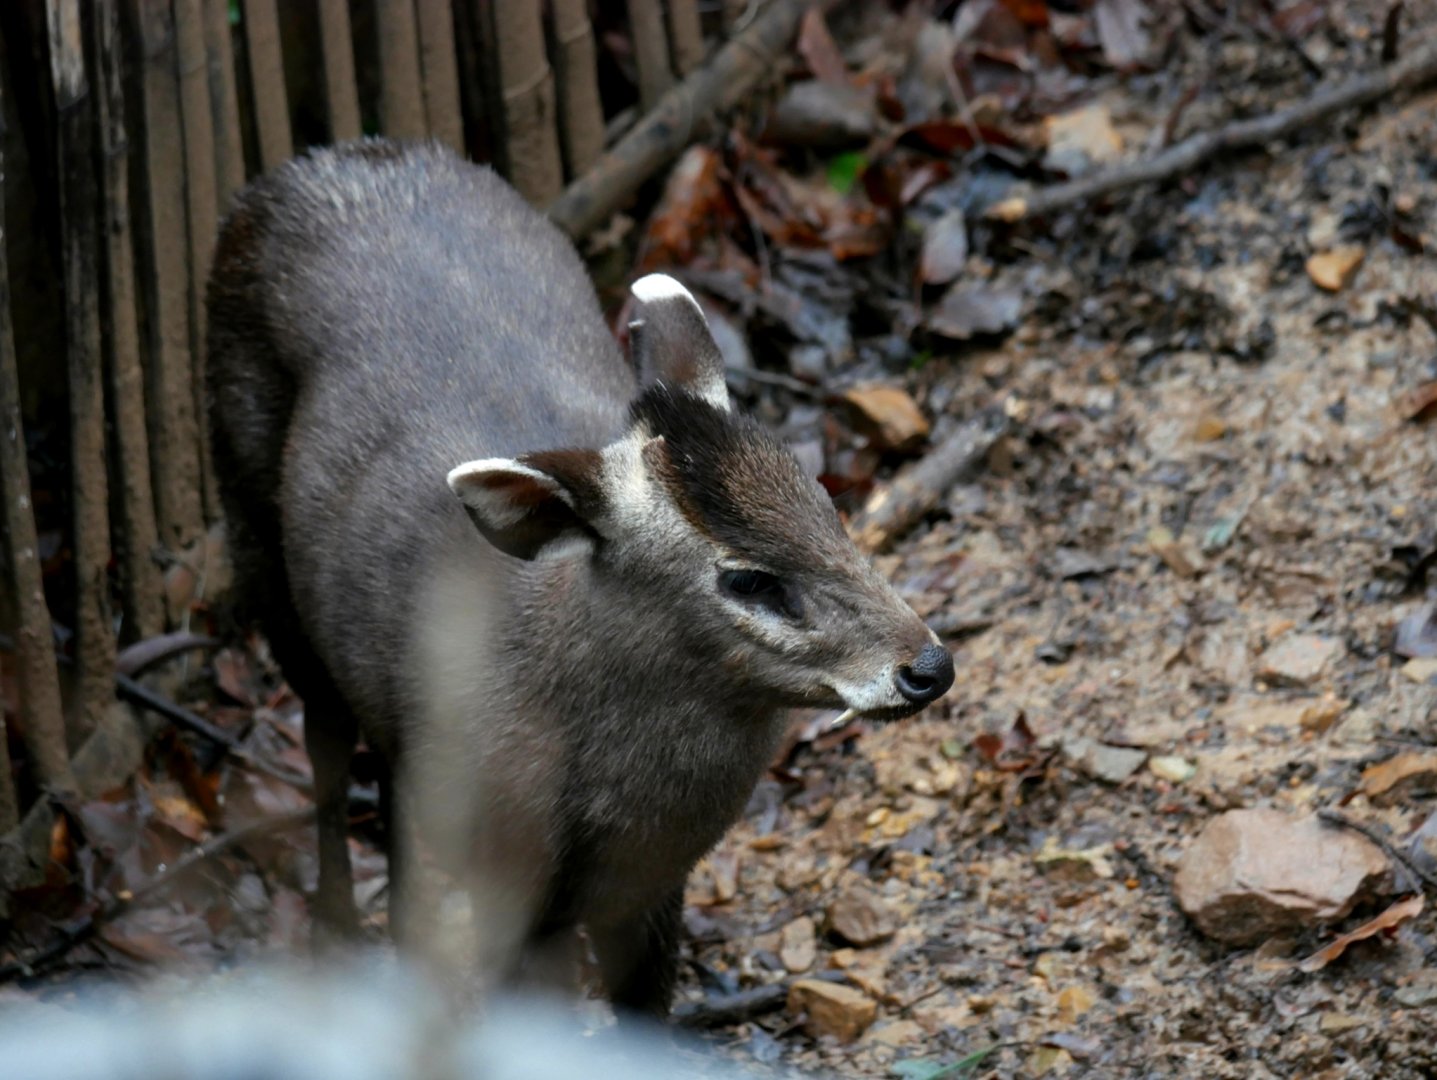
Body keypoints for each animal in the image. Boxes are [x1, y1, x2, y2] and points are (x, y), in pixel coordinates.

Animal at [206, 139, 954, 1018]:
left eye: (825, 502)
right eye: (748, 580)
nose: (927, 666)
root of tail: (307, 164)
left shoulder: (652, 889)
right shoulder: (513, 892)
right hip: (256, 540)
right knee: (324, 745)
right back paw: (337, 933)